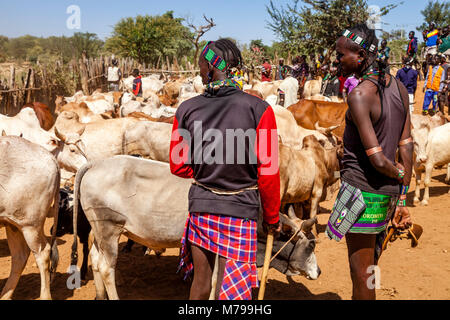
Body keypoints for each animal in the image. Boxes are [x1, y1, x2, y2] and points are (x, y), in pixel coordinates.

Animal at [0, 137, 59, 300]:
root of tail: (50, 157)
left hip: (30, 225)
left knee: (43, 253)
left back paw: (45, 296)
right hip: (12, 223)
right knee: (19, 257)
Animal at [71, 158, 320, 300]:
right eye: (311, 245)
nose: (318, 271)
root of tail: (94, 164)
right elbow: (215, 282)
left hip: (99, 233)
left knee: (95, 259)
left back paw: (99, 296)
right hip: (109, 229)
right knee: (106, 267)